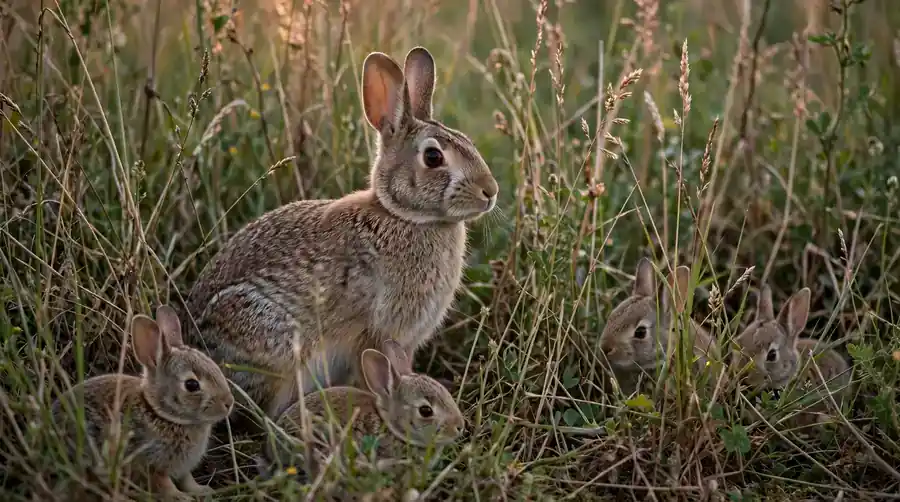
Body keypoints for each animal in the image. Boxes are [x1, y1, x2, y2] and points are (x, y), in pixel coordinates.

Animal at [51, 305, 234, 500]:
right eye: (191, 385)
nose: (229, 402)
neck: (160, 413)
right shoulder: (151, 464)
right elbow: (164, 485)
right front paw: (181, 497)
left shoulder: (183, 468)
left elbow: (187, 480)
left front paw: (203, 490)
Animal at [182, 46, 499, 423]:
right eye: (433, 157)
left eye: (468, 142)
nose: (491, 191)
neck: (407, 217)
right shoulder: (376, 333)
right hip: (275, 345)